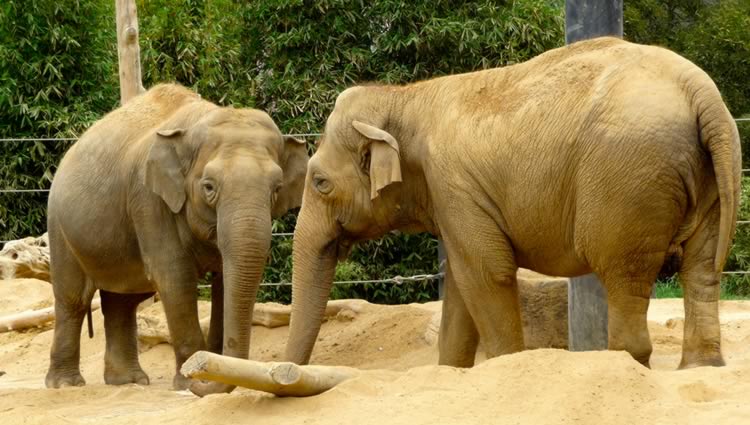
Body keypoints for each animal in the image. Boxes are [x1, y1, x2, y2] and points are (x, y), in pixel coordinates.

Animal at [45, 83, 310, 394]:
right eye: (209, 187)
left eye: (277, 189)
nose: (204, 374)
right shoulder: (149, 200)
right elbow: (174, 278)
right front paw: (188, 381)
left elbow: (224, 281)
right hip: (59, 227)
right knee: (73, 299)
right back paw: (65, 384)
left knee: (121, 302)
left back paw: (129, 381)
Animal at [284, 36, 744, 368]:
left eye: (320, 183)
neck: (405, 98)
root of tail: (700, 91)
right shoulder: (452, 197)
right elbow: (460, 284)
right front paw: (451, 371)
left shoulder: (453, 183)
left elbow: (487, 274)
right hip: (712, 175)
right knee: (702, 267)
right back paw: (701, 367)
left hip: (628, 179)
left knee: (624, 274)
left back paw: (627, 363)